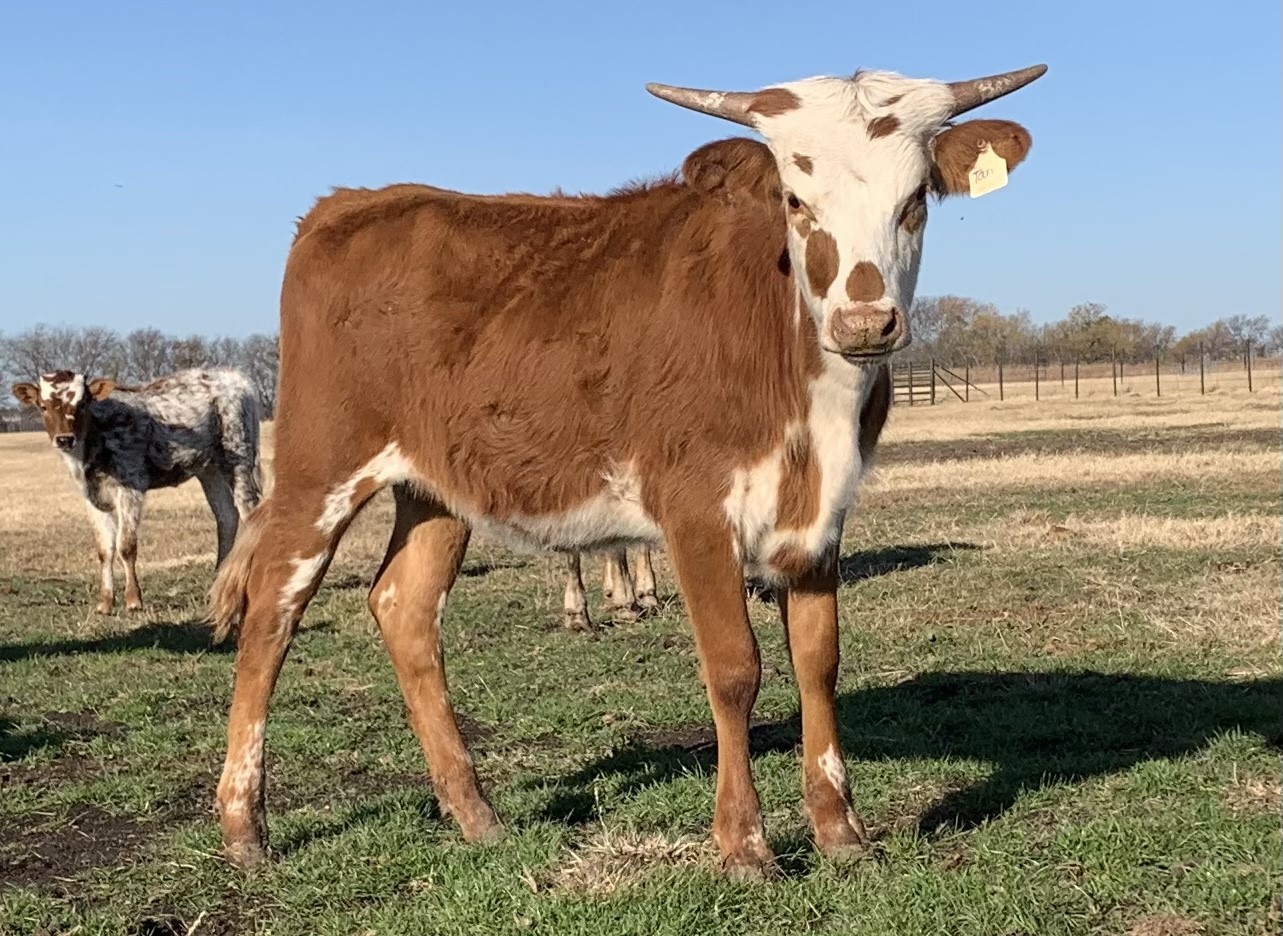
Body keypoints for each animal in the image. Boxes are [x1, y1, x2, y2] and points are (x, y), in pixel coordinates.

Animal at [12, 368, 262, 613]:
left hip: (238, 457)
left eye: (82, 404)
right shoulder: (92, 497)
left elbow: (125, 545)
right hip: (210, 470)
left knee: (250, 513)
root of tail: (235, 376)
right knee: (226, 516)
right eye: (43, 406)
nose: (64, 439)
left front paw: (133, 600)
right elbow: (104, 549)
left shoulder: (131, 485)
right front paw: (105, 603)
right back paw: (218, 583)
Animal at [208, 63, 1044, 877]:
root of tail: (353, 202)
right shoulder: (694, 508)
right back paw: (244, 825)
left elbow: (818, 662)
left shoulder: (820, 515)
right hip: (322, 465)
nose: (864, 322)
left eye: (914, 202)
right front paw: (743, 846)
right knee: (273, 608)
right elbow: (734, 669)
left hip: (435, 488)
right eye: (794, 200)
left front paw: (839, 829)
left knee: (404, 609)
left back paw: (476, 815)